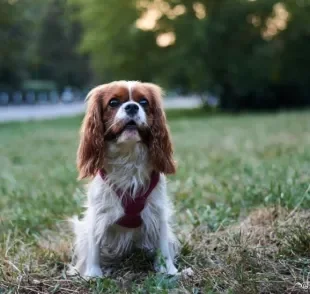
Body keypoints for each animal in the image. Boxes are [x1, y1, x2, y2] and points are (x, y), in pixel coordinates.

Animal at [69, 80, 177, 278]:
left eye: (143, 102)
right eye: (113, 102)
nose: (132, 106)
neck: (128, 154)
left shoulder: (157, 209)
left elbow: (163, 244)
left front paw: (169, 271)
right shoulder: (98, 213)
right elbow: (94, 246)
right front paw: (93, 275)